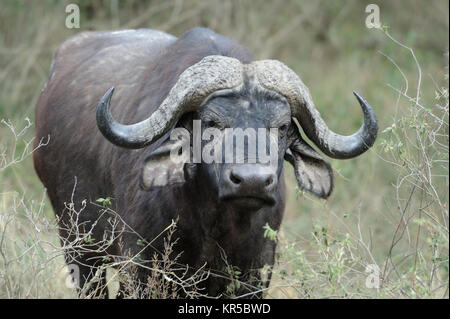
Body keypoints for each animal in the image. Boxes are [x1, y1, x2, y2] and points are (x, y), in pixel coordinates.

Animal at [33, 26, 376, 298]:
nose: (252, 181)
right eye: (211, 123)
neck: (216, 225)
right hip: (78, 244)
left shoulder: (256, 270)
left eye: (281, 127)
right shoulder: (141, 265)